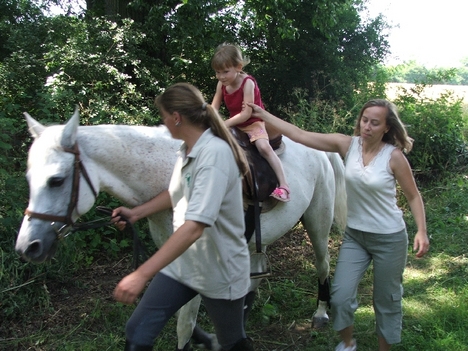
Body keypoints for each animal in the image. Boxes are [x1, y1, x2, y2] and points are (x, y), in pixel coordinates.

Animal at [15, 108, 348, 350]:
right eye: (28, 178)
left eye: (56, 180)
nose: (28, 246)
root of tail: (318, 149)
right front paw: (210, 338)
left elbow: (183, 325)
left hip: (317, 222)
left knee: (322, 264)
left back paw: (321, 313)